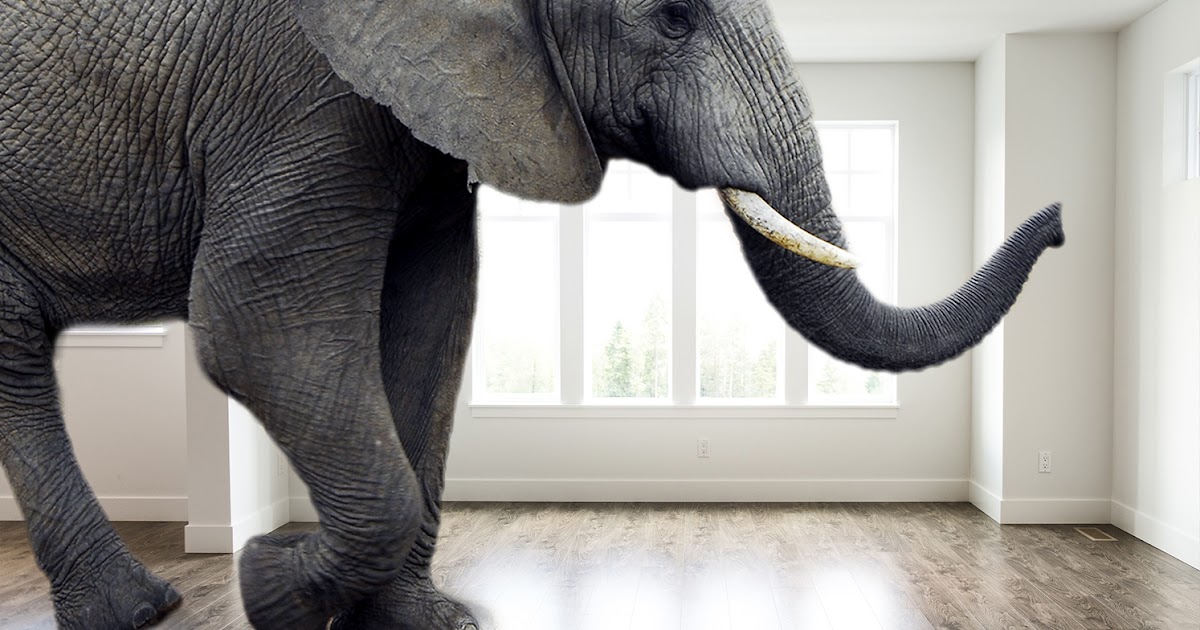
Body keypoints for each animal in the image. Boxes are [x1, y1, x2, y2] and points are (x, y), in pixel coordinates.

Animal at [0, 0, 1064, 628]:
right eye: (671, 18)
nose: (1058, 220)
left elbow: (433, 318)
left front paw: (419, 622)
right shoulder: (291, 89)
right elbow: (250, 323)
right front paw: (269, 586)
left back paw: (135, 609)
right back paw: (142, 610)